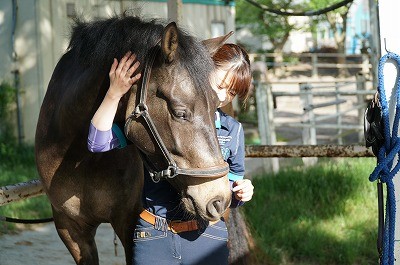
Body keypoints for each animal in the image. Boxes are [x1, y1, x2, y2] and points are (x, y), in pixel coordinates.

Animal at [35, 14, 233, 264]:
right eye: (180, 112)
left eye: (215, 107)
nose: (219, 198)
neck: (78, 156)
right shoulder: (70, 228)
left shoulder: (129, 223)